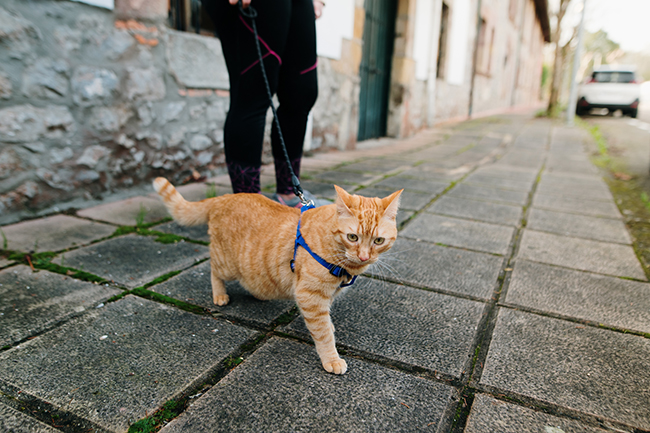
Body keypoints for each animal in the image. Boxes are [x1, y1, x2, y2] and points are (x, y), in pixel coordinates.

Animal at [153, 177, 400, 372]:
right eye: (352, 237)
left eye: (378, 241)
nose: (364, 257)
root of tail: (223, 197)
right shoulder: (309, 295)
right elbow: (322, 333)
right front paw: (331, 358)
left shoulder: (326, 294)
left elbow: (326, 319)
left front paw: (330, 325)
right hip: (227, 264)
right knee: (213, 269)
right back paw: (219, 295)